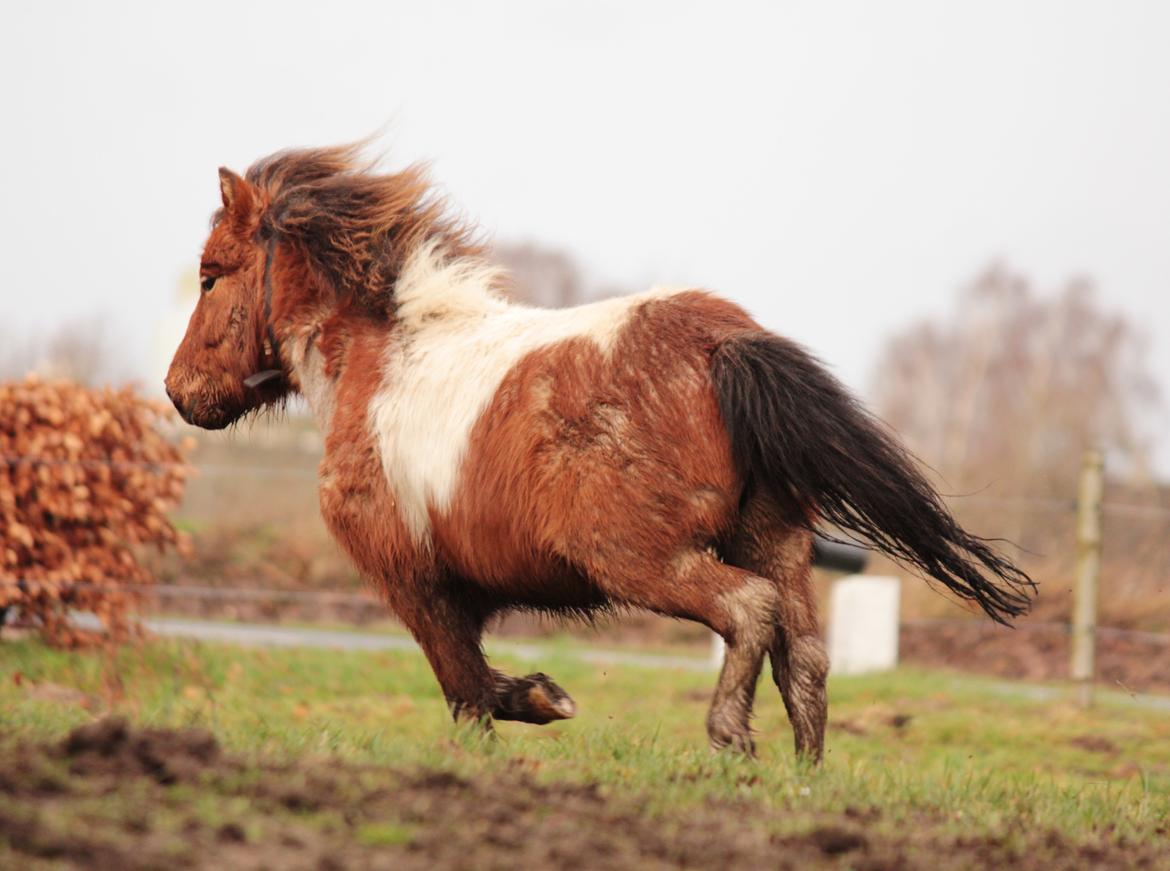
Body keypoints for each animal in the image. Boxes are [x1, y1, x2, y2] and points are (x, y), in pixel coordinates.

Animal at [167, 146, 1034, 758]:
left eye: (210, 276)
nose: (180, 392)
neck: (380, 361)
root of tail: (725, 343)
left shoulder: (415, 580)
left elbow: (467, 687)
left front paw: (540, 702)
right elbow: (472, 682)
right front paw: (540, 698)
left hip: (645, 560)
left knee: (746, 612)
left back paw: (731, 738)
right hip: (777, 542)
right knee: (807, 658)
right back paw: (804, 776)